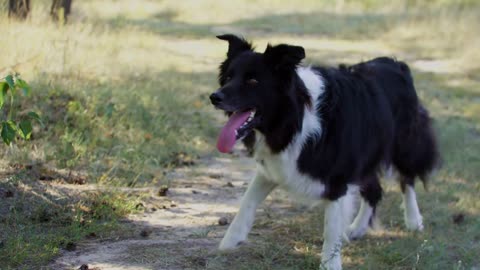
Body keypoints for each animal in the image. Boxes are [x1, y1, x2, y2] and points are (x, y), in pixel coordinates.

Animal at [208, 34, 440, 268]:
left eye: (253, 81)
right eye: (228, 77)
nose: (214, 97)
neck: (295, 117)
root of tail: (396, 64)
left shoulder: (338, 178)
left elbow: (331, 228)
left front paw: (330, 263)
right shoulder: (277, 165)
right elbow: (248, 199)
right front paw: (231, 240)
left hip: (404, 144)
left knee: (407, 178)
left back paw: (413, 220)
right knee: (374, 190)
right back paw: (357, 228)